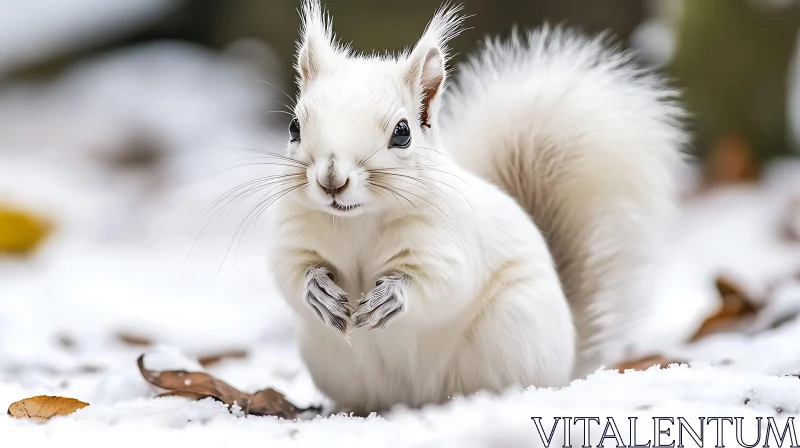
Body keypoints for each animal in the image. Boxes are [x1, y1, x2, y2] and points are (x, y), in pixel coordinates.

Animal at [266, 1, 686, 414]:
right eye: (294, 127)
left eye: (402, 133)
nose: (331, 180)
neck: (357, 221)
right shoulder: (294, 237)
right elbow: (290, 273)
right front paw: (317, 290)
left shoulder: (448, 243)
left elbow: (444, 283)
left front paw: (391, 297)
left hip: (511, 331)